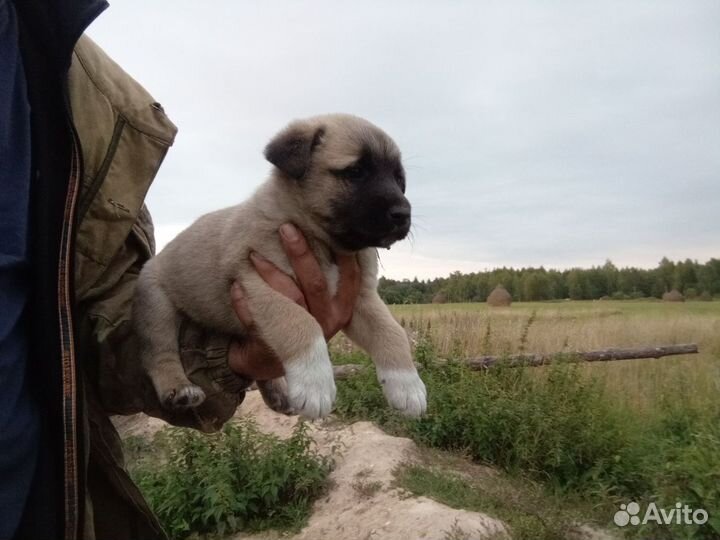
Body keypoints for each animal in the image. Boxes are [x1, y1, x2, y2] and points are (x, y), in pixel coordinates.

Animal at [134, 113, 428, 418]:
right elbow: (299, 321)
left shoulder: (361, 298)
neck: (326, 245)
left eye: (399, 179)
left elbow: (392, 331)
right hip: (156, 304)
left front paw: (407, 385)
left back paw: (278, 393)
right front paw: (315, 384)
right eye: (356, 171)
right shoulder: (260, 283)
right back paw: (179, 388)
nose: (403, 214)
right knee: (158, 352)